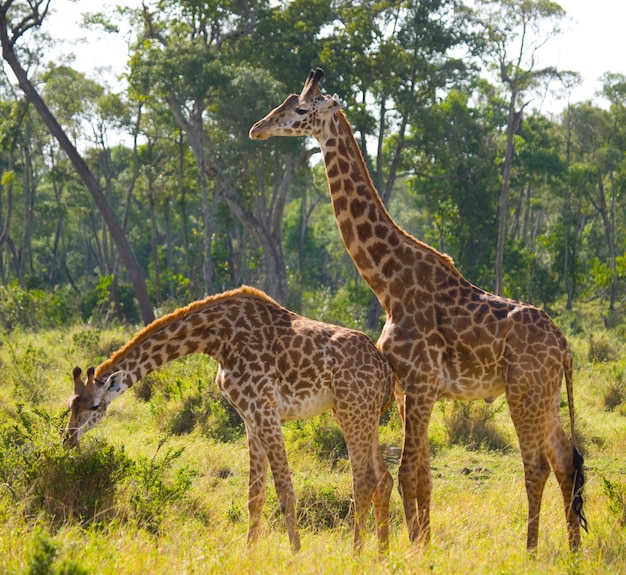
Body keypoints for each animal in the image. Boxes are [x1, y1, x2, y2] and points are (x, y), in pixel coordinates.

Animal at [66, 286, 392, 556]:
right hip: (363, 413)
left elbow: (285, 491)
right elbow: (254, 495)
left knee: (364, 480)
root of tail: (385, 368)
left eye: (94, 405)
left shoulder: (265, 410)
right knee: (383, 478)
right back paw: (382, 554)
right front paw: (249, 552)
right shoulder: (250, 416)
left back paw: (357, 554)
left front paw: (296, 554)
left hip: (352, 408)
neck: (216, 339)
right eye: (70, 403)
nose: (68, 439)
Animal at [247, 68, 584, 552]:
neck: (388, 283)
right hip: (546, 393)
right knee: (565, 458)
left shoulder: (422, 383)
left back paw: (533, 550)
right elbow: (422, 475)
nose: (257, 128)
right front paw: (420, 543)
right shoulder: (411, 389)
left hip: (524, 391)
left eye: (300, 108)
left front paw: (413, 549)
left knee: (536, 464)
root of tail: (565, 345)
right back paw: (574, 548)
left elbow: (409, 472)